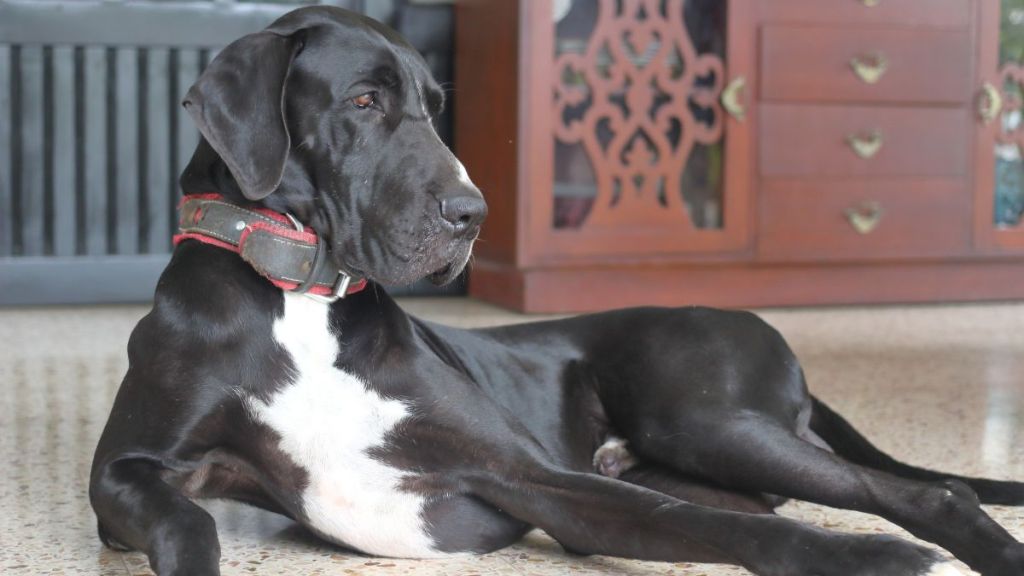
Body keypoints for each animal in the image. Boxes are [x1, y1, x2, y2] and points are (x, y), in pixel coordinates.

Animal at [90, 5, 1024, 573]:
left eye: (435, 106)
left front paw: (872, 559)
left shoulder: (531, 476)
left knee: (916, 490)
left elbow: (726, 529)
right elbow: (187, 519)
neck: (301, 301)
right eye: (362, 101)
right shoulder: (124, 472)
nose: (473, 213)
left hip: (706, 419)